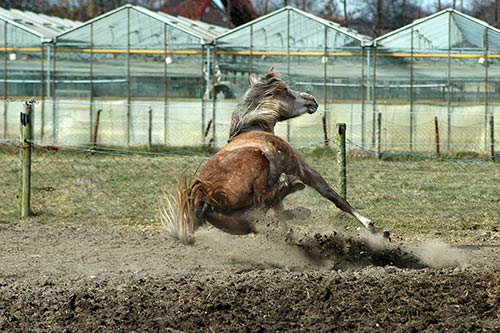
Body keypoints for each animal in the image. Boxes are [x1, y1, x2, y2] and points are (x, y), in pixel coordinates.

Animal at [177, 69, 382, 236]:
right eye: (285, 89)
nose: (311, 99)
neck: (253, 126)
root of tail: (203, 194)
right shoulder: (301, 167)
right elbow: (333, 196)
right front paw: (372, 226)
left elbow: (279, 211)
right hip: (259, 163)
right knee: (263, 203)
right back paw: (293, 190)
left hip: (233, 217)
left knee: (258, 214)